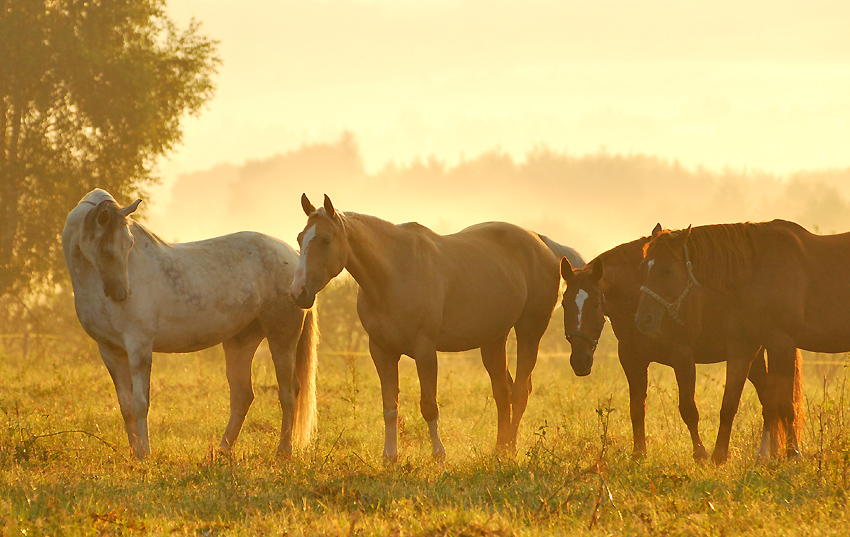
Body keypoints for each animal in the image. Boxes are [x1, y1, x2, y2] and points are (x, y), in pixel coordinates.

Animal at [61, 188, 316, 460]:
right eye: (108, 251)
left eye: (129, 245)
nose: (121, 293)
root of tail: (295, 258)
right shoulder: (110, 350)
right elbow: (126, 406)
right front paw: (135, 453)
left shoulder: (139, 347)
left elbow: (141, 403)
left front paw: (145, 453)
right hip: (241, 341)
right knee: (242, 395)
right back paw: (222, 450)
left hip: (282, 335)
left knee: (288, 392)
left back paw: (283, 451)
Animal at [286, 195, 584, 458]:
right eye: (300, 238)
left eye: (325, 240)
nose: (298, 293)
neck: (394, 273)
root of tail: (541, 242)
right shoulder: (381, 351)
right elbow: (389, 406)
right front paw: (390, 456)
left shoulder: (425, 351)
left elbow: (429, 406)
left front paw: (438, 455)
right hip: (493, 340)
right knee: (503, 392)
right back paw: (499, 450)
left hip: (529, 331)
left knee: (520, 391)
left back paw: (509, 449)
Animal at [560, 226, 800, 460]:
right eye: (564, 304)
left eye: (595, 305)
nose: (580, 361)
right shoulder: (631, 357)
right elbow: (637, 408)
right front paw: (639, 453)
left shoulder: (682, 356)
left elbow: (688, 409)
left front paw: (700, 453)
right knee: (769, 398)